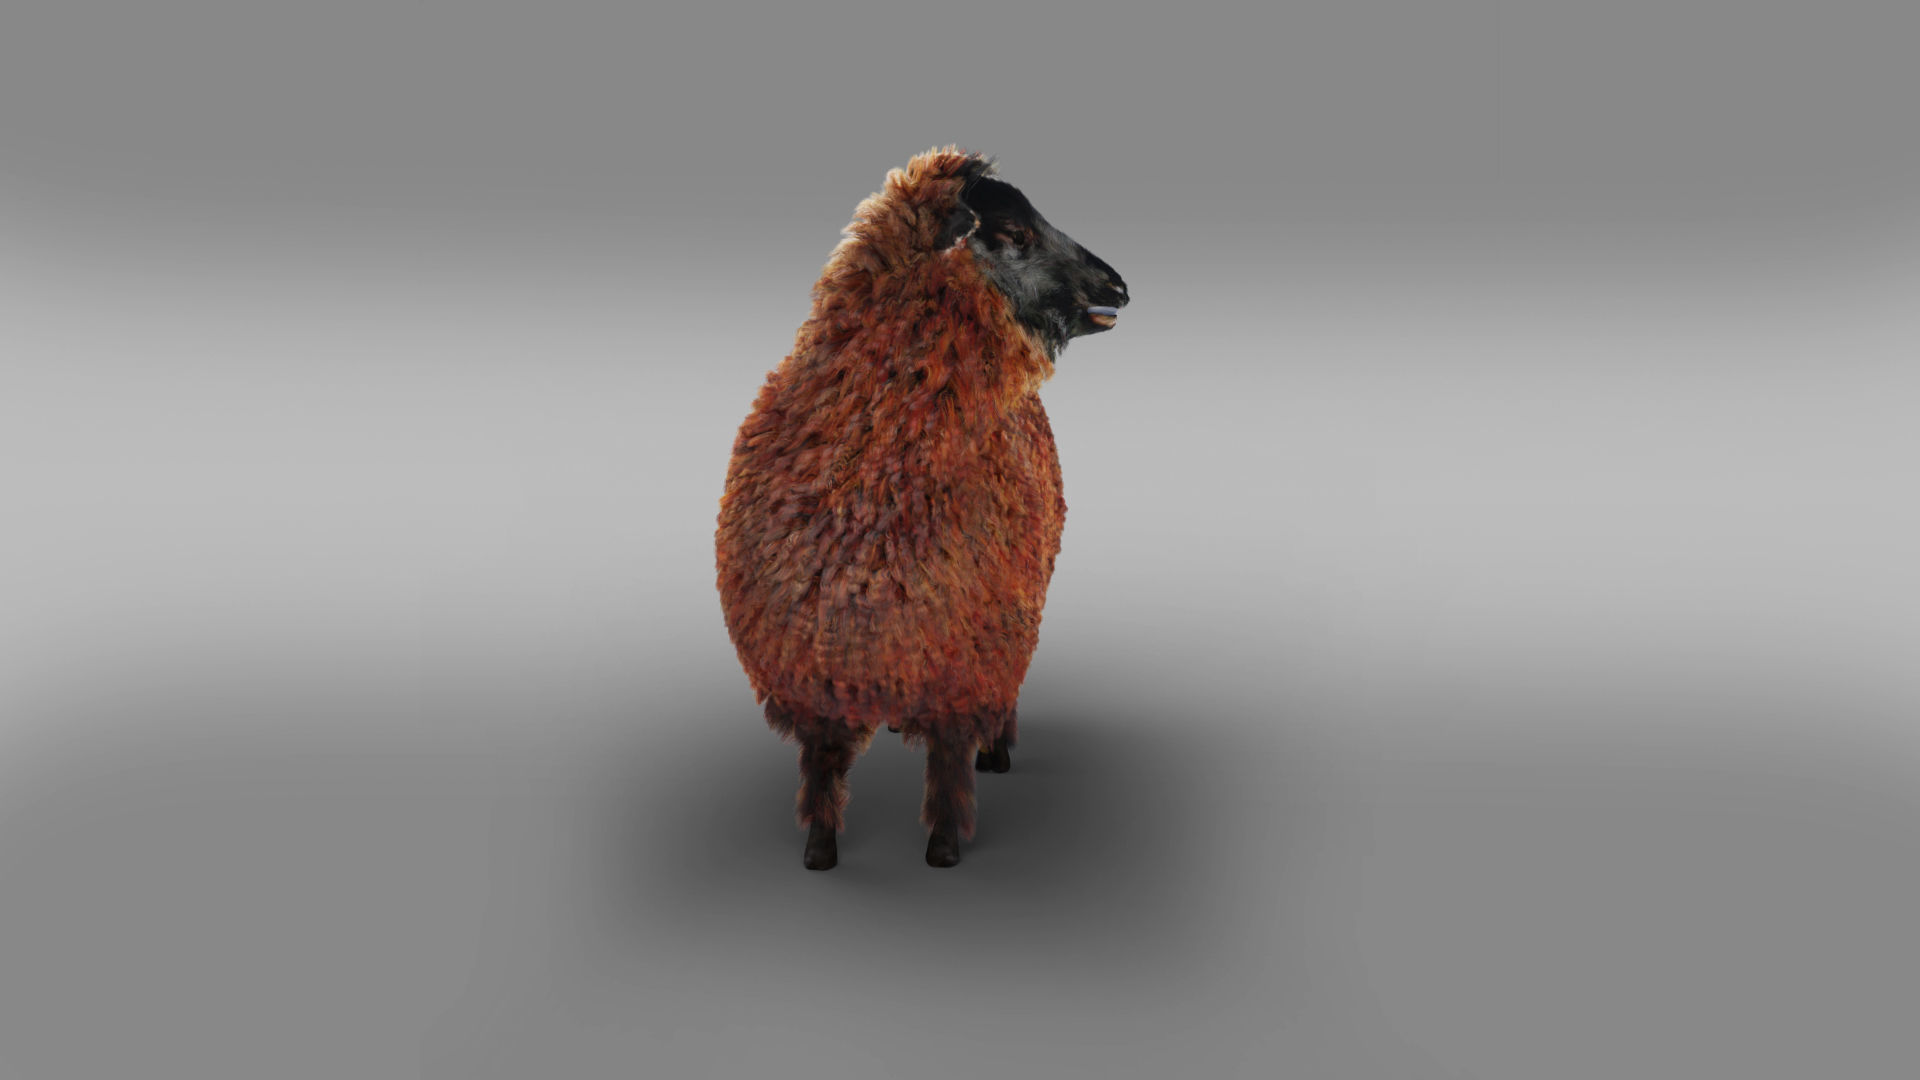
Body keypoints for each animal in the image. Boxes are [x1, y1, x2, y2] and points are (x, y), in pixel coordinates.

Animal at [715, 147, 1129, 869]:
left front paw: (942, 847)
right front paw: (819, 849)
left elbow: (947, 762)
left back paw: (1000, 751)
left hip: (1016, 617)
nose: (1119, 288)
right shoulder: (812, 667)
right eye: (1014, 232)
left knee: (1005, 699)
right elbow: (821, 764)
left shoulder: (963, 659)